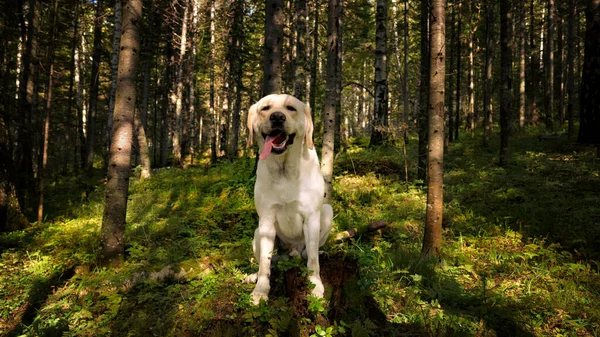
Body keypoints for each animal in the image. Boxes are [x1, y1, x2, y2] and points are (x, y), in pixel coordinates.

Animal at [246, 93, 336, 304]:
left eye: (291, 108)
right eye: (265, 108)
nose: (277, 117)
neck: (284, 169)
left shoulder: (312, 217)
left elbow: (312, 260)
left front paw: (316, 285)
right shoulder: (266, 219)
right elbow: (264, 263)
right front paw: (260, 291)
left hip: (327, 213)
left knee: (306, 253)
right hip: (257, 233)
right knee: (270, 261)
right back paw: (255, 275)